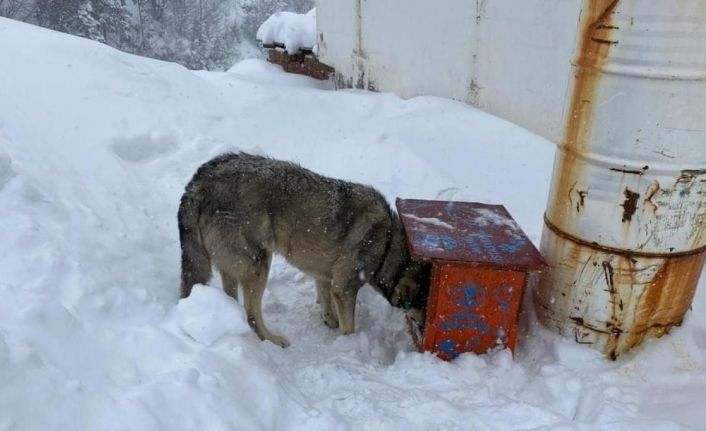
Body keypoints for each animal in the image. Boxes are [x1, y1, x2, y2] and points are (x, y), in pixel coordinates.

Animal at [179, 153, 426, 348]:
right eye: (424, 306)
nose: (426, 335)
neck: (386, 244)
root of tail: (198, 182)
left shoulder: (326, 277)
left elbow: (326, 302)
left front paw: (329, 320)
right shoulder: (345, 288)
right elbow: (349, 327)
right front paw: (349, 344)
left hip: (236, 266)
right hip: (259, 264)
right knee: (251, 315)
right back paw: (273, 339)